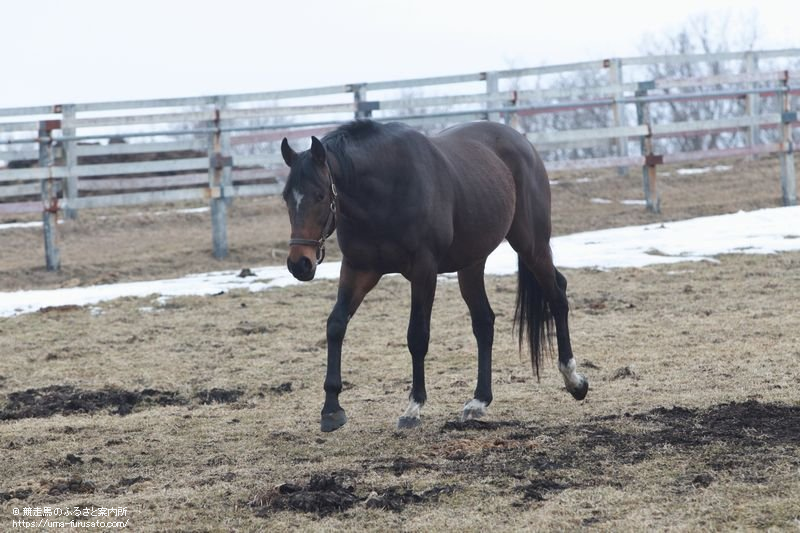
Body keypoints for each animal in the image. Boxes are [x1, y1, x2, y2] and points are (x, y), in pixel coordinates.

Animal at [280, 120, 588, 432]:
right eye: (286, 197)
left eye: (320, 195)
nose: (300, 264)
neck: (383, 192)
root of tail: (522, 142)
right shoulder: (358, 269)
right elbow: (336, 325)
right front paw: (331, 409)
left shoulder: (423, 271)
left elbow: (417, 335)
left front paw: (413, 407)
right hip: (472, 263)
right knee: (484, 322)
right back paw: (479, 400)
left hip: (531, 244)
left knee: (557, 296)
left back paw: (574, 381)